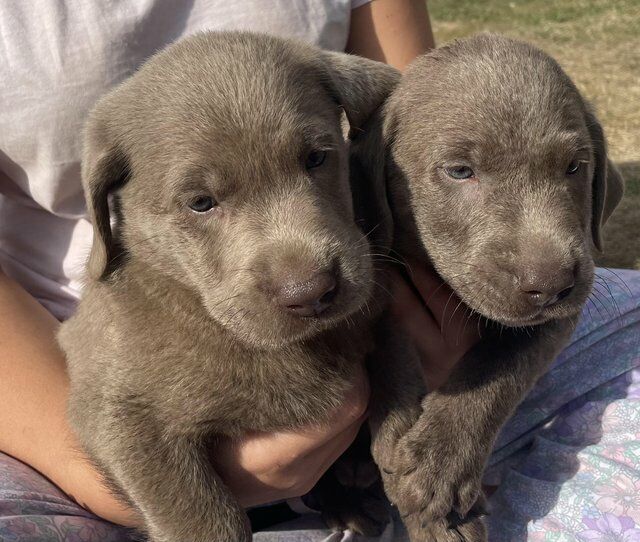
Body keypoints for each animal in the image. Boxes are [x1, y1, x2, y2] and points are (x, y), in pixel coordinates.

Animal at [350, 35, 624, 542]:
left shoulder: (556, 320)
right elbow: (392, 343)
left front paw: (438, 467)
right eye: (460, 171)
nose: (551, 285)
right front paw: (398, 427)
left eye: (575, 167)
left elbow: (497, 369)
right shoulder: (381, 286)